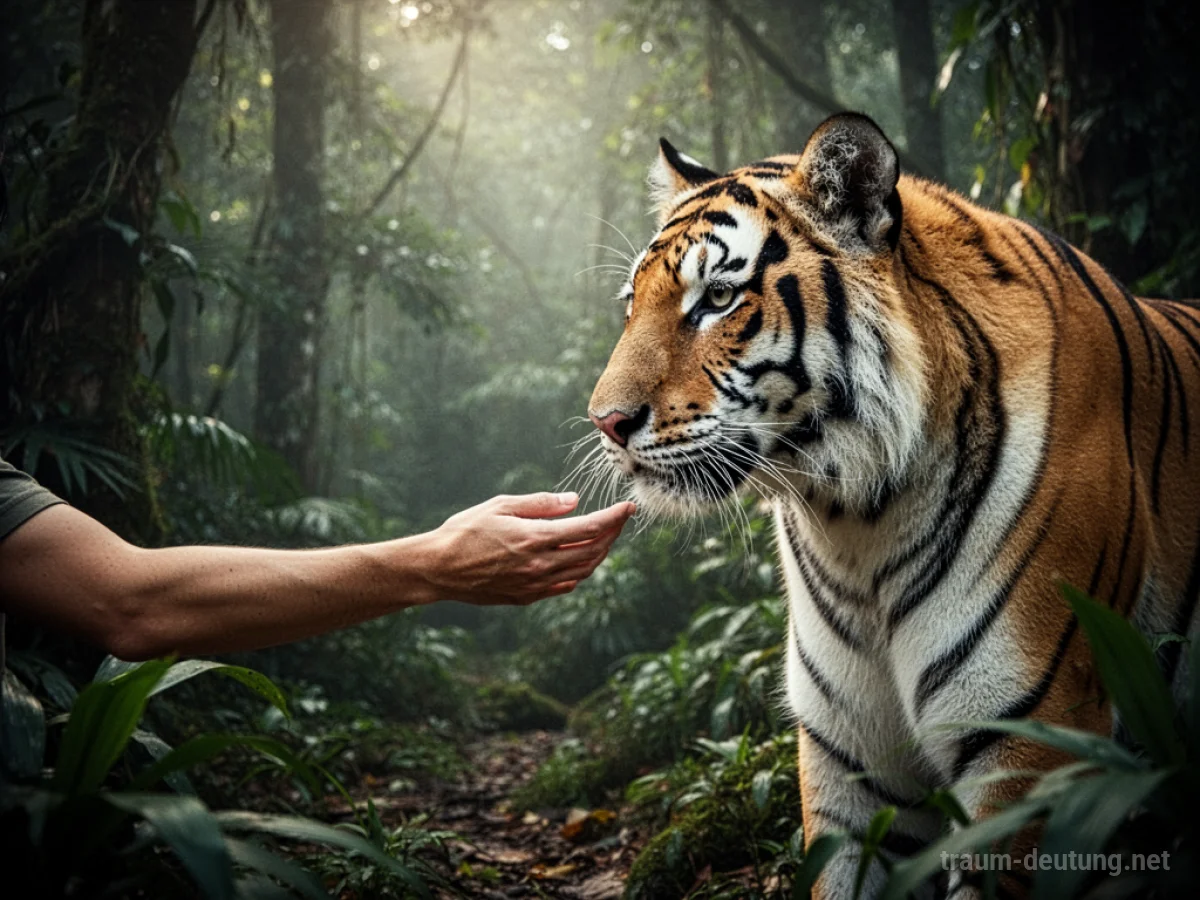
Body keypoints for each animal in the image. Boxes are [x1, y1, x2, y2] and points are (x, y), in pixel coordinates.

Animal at [586, 112, 1200, 898]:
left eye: (718, 299)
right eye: (633, 305)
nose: (605, 422)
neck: (853, 525)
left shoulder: (1029, 743)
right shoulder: (849, 761)